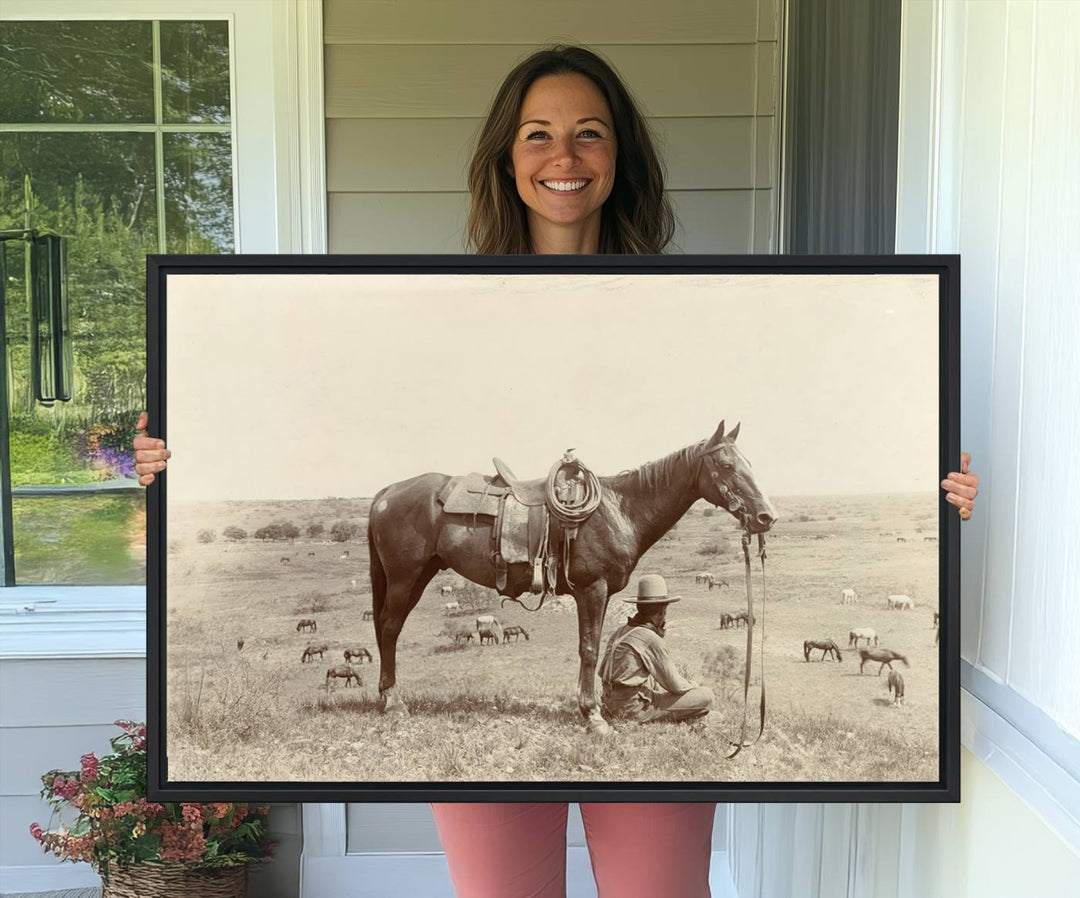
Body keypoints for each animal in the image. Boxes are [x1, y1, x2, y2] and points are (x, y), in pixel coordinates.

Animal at [367, 417, 773, 734]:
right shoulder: (592, 589)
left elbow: (595, 645)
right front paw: (593, 716)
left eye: (750, 462)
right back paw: (394, 703)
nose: (766, 516)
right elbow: (589, 650)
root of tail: (387, 492)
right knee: (389, 628)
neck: (619, 510)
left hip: (420, 575)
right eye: (726, 465)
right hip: (404, 577)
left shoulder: (602, 593)